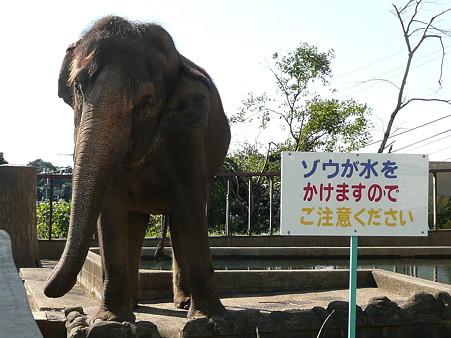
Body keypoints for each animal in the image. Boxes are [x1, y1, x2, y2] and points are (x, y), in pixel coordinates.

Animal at [43, 15, 231, 322]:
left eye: (145, 103)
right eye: (79, 87)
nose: (49, 289)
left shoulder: (190, 133)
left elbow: (190, 202)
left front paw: (210, 319)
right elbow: (110, 209)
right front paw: (110, 320)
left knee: (177, 222)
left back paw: (181, 304)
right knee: (134, 224)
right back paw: (133, 305)